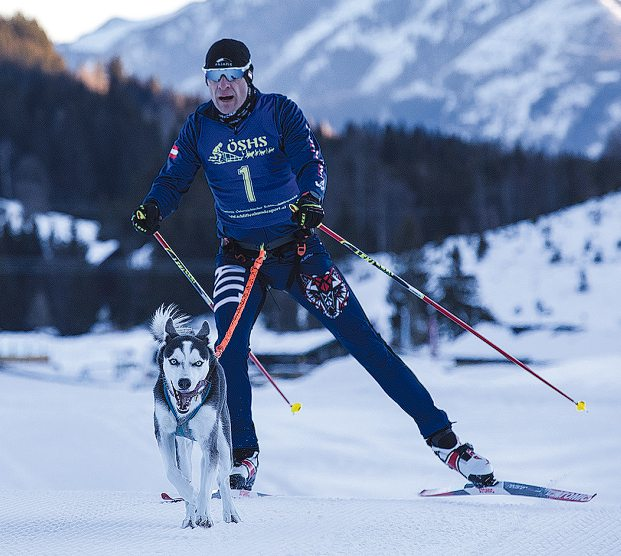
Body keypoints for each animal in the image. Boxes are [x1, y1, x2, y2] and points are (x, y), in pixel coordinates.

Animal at [150, 306, 240, 528]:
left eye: (198, 363)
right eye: (174, 361)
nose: (184, 382)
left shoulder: (210, 442)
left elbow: (208, 484)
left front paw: (203, 511)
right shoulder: (164, 434)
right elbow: (173, 472)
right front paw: (191, 496)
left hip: (223, 442)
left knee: (222, 478)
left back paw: (228, 512)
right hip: (184, 446)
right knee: (189, 471)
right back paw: (191, 515)